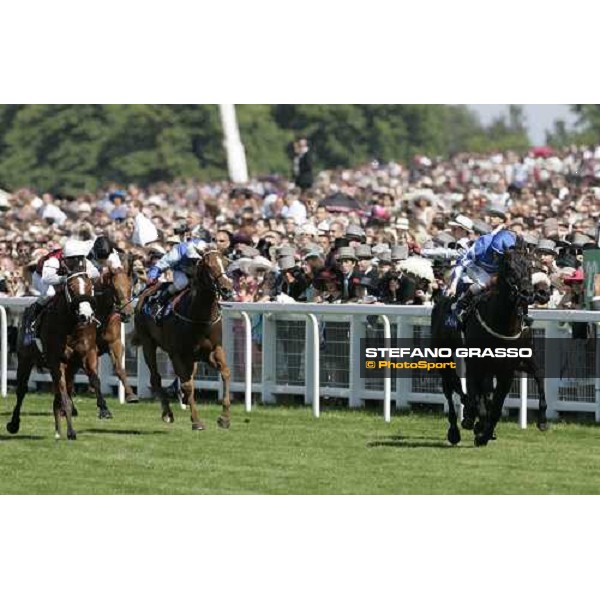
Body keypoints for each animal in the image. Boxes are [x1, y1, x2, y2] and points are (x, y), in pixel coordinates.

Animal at [7, 270, 105, 438]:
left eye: (90, 286)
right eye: (71, 288)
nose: (86, 315)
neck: (70, 327)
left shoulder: (88, 353)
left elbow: (94, 379)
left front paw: (104, 408)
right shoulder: (56, 360)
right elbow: (63, 392)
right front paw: (71, 431)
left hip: (70, 367)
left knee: (64, 392)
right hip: (25, 359)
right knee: (21, 391)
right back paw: (14, 424)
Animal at [132, 246, 233, 428]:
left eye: (226, 263)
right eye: (209, 266)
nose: (227, 288)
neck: (199, 317)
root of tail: (145, 292)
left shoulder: (212, 350)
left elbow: (226, 373)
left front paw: (224, 418)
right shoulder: (177, 353)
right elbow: (187, 384)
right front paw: (197, 421)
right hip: (147, 343)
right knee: (156, 378)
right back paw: (167, 412)